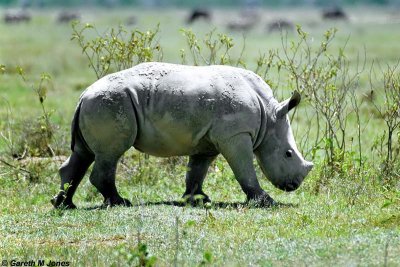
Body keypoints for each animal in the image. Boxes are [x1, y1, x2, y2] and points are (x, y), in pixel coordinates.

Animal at [50, 62, 312, 209]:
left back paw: (64, 205)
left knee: (83, 153)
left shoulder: (207, 140)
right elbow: (244, 171)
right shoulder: (235, 135)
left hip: (98, 105)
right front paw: (266, 201)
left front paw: (197, 200)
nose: (294, 186)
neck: (269, 116)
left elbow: (197, 171)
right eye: (288, 154)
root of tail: (83, 95)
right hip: (111, 104)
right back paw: (119, 203)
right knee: (110, 153)